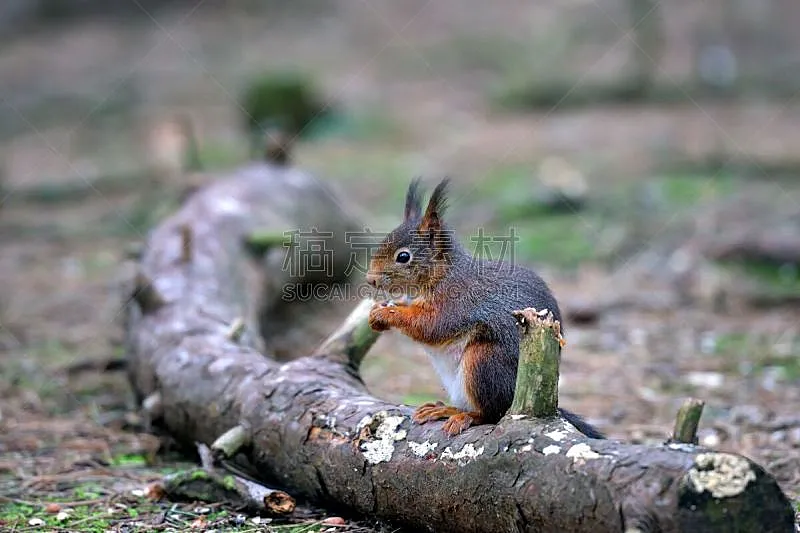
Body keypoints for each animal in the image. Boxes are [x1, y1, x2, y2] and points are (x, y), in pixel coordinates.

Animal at [366, 179, 604, 436]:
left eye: (403, 257)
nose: (370, 279)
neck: (443, 275)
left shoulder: (456, 302)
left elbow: (430, 326)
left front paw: (386, 313)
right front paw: (376, 314)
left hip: (484, 362)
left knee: (491, 413)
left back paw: (465, 416)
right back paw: (444, 409)